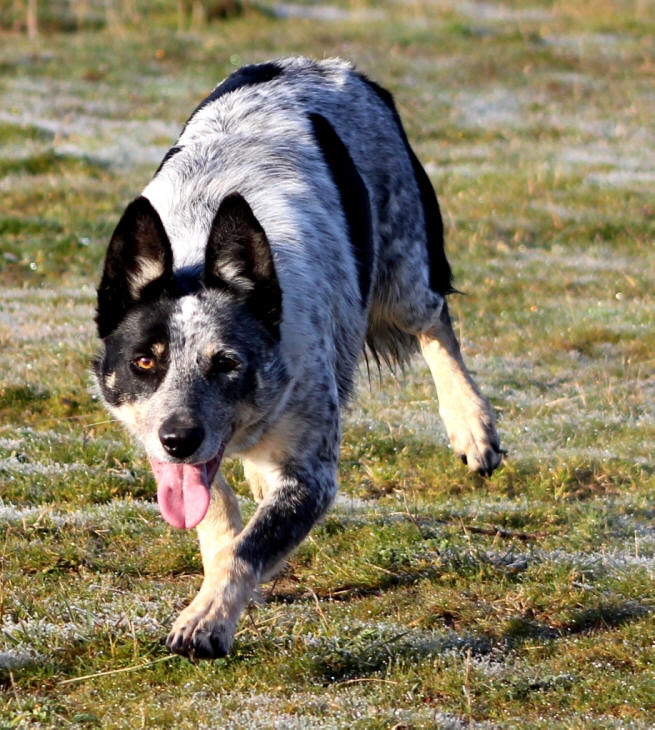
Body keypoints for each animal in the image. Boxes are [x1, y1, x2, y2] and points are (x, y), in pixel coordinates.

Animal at [93, 58, 502, 660]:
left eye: (227, 363)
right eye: (145, 362)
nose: (178, 439)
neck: (198, 248)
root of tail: (331, 66)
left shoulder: (312, 474)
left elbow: (249, 547)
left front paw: (207, 620)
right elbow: (219, 517)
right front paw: (219, 590)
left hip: (402, 273)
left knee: (435, 321)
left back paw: (473, 428)